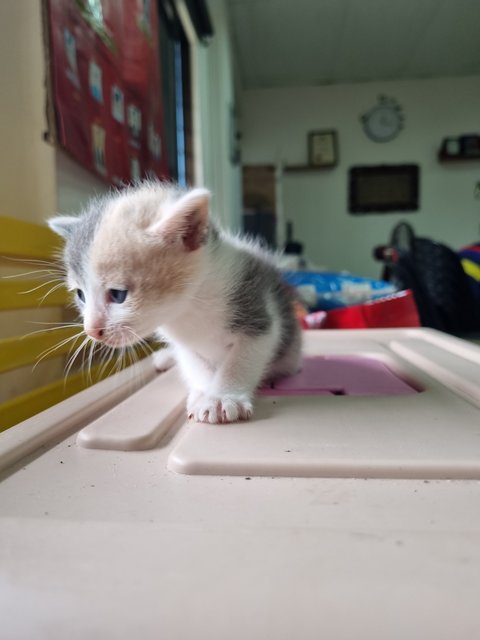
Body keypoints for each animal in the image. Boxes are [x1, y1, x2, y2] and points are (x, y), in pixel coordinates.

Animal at [49, 184, 304, 424]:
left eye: (118, 294)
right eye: (80, 294)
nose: (92, 331)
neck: (187, 308)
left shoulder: (258, 312)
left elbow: (241, 359)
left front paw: (221, 397)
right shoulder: (186, 344)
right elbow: (196, 366)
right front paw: (203, 393)